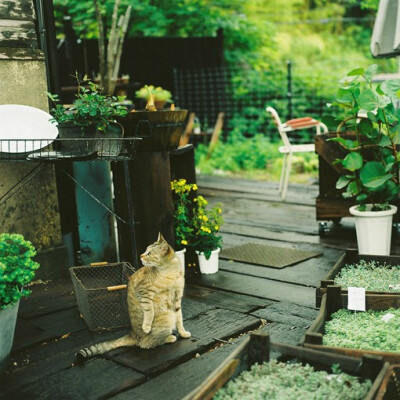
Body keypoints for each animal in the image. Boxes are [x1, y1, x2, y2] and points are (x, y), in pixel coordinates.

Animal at [77, 231, 192, 362]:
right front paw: (146, 326)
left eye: (149, 253)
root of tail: (132, 334)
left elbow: (179, 319)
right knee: (145, 344)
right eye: (145, 250)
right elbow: (149, 310)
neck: (170, 273)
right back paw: (169, 338)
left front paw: (183, 333)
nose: (141, 255)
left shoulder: (177, 299)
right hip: (165, 320)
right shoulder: (143, 292)